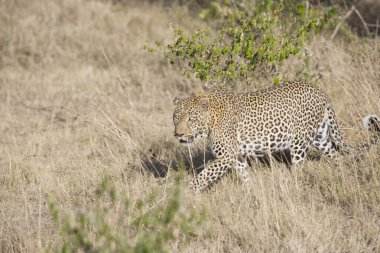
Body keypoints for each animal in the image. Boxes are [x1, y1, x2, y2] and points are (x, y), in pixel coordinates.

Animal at [173, 81, 380, 192]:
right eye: (176, 117)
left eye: (191, 119)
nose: (178, 134)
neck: (211, 120)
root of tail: (320, 91)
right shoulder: (236, 156)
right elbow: (244, 174)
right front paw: (250, 192)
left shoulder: (226, 156)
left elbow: (204, 176)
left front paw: (187, 192)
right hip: (320, 137)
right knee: (336, 155)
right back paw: (341, 175)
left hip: (299, 143)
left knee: (299, 168)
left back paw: (294, 188)